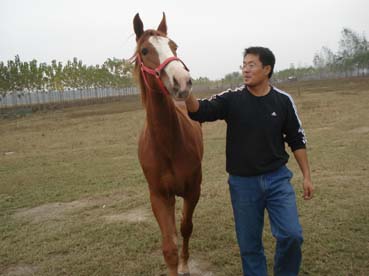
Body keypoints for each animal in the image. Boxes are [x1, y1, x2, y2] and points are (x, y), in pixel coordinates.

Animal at [132, 12, 203, 276]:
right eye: (144, 50)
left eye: (174, 46)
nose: (181, 81)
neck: (167, 144)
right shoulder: (159, 196)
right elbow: (169, 247)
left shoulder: (193, 189)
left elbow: (185, 227)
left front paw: (185, 264)